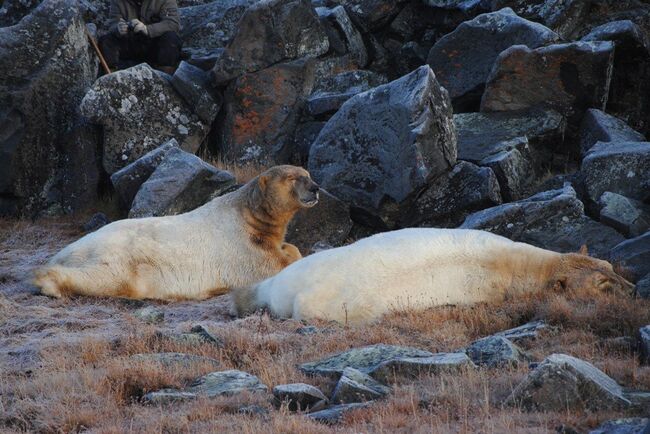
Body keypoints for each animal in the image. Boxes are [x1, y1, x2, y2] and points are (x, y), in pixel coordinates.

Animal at [34, 164, 318, 300]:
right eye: (293, 178)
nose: (315, 187)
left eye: (307, 173)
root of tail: (67, 251)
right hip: (121, 257)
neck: (245, 214)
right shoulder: (242, 248)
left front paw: (288, 246)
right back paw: (48, 283)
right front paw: (291, 255)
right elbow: (274, 264)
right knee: (108, 278)